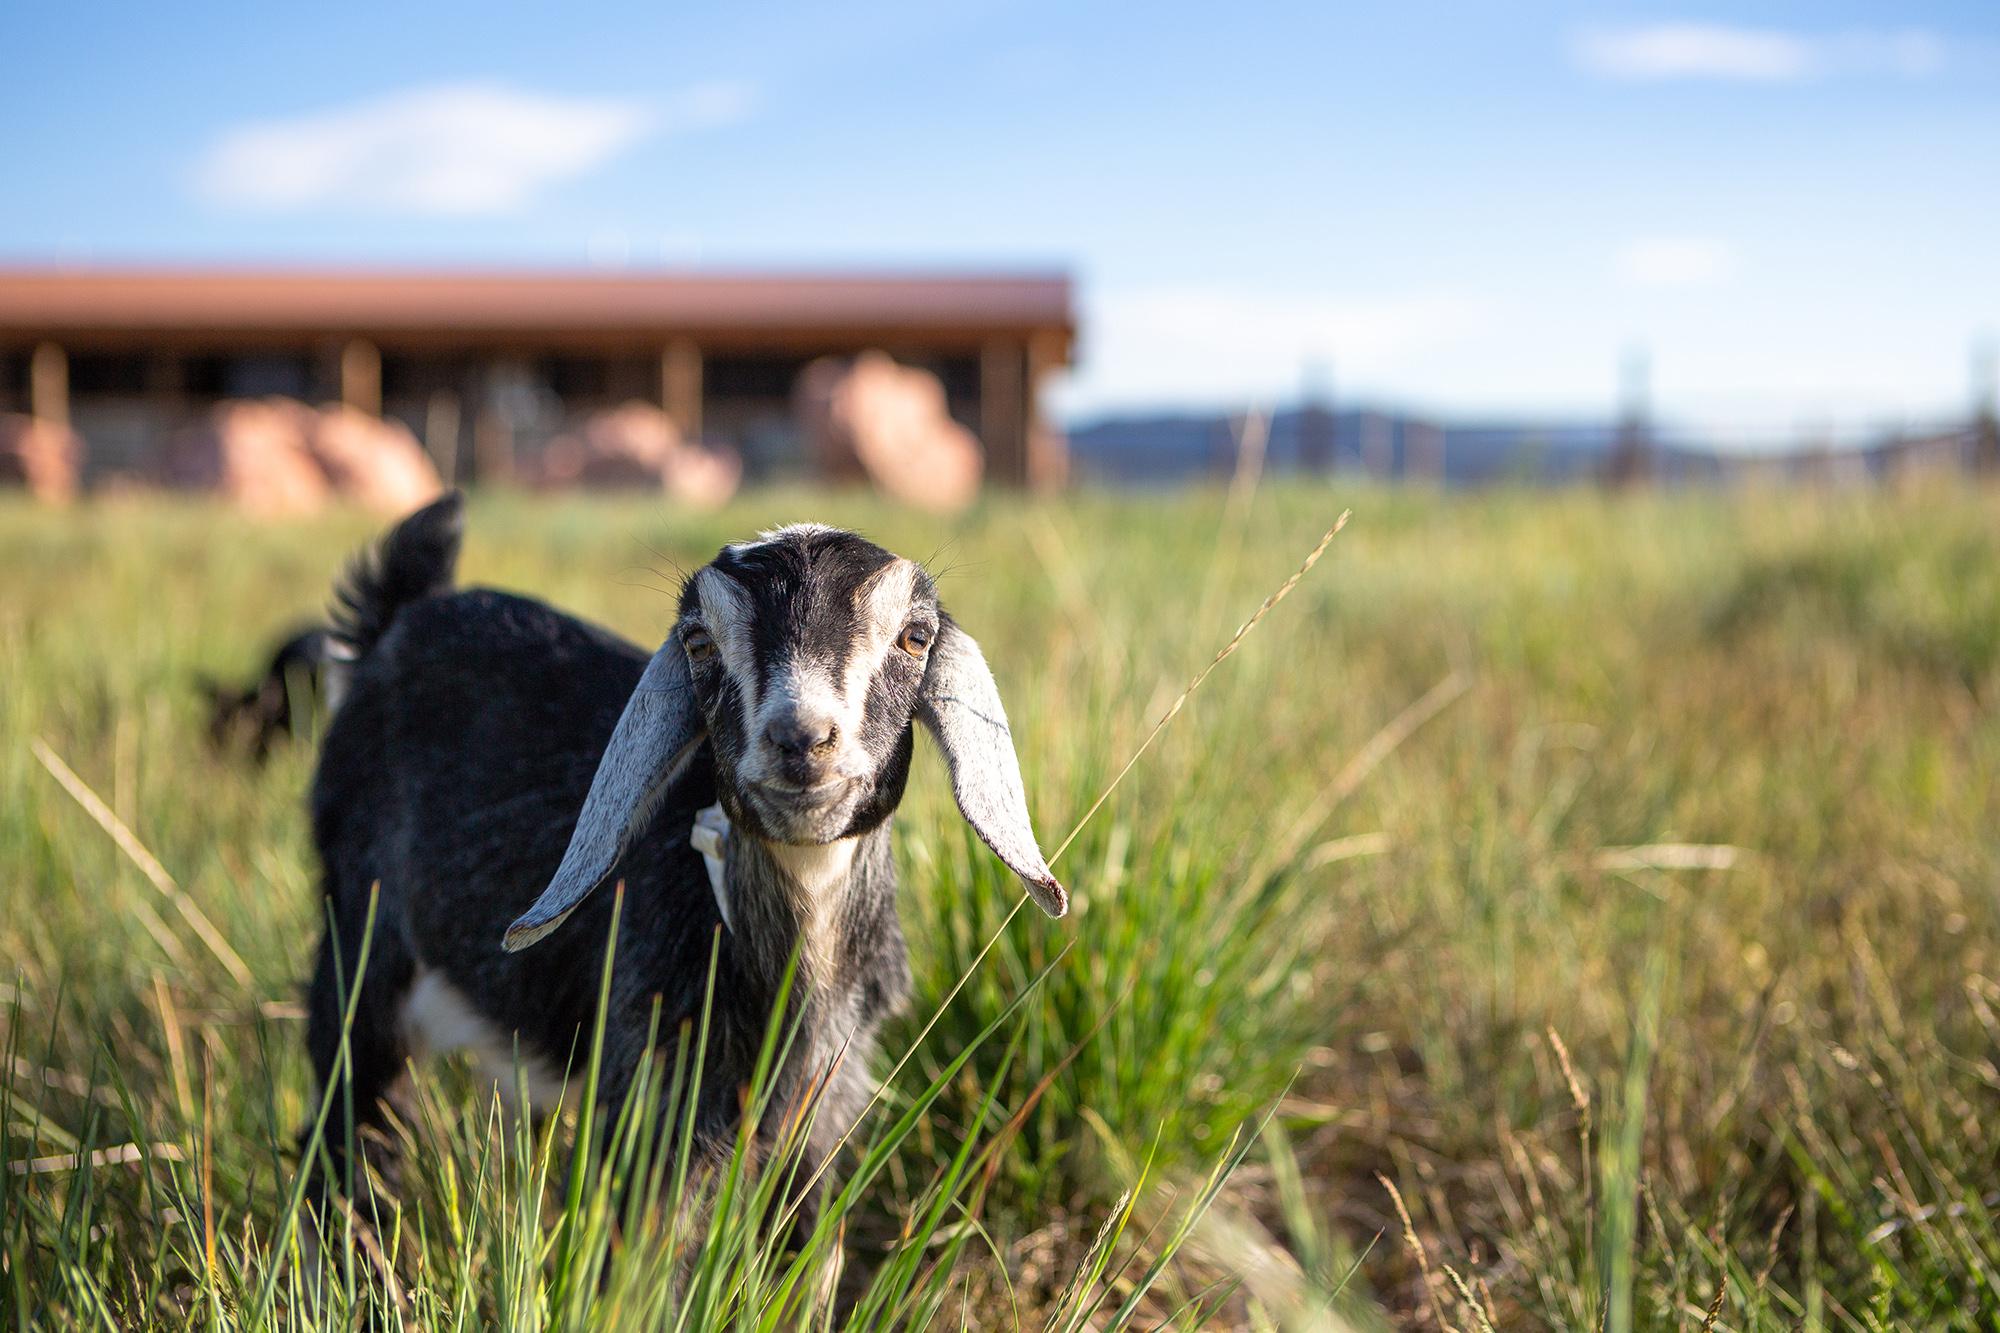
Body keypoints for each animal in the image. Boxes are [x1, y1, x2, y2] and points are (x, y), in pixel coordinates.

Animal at [304, 492, 1066, 1216]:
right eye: (699, 642)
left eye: (914, 637)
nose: (800, 739)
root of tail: (396, 622)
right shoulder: (651, 1094)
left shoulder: (823, 1105)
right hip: (360, 933)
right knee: (345, 1116)